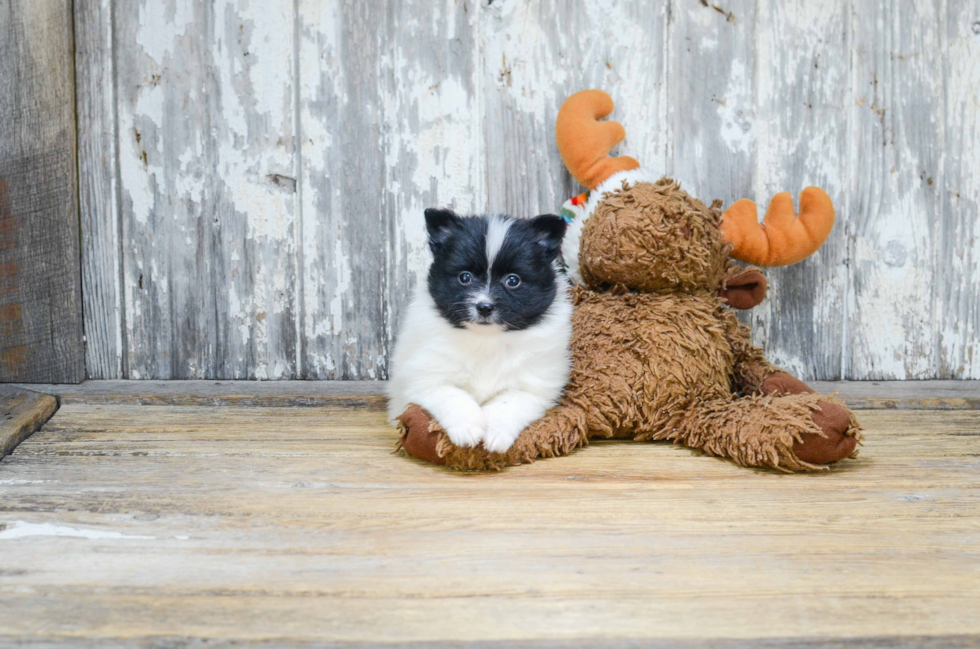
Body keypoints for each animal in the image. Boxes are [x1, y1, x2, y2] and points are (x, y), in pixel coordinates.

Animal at [388, 210, 576, 454]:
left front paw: (495, 433)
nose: (484, 307)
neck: (487, 339)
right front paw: (467, 428)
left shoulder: (534, 387)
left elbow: (509, 402)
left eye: (513, 280)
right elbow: (452, 394)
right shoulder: (424, 377)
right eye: (465, 277)